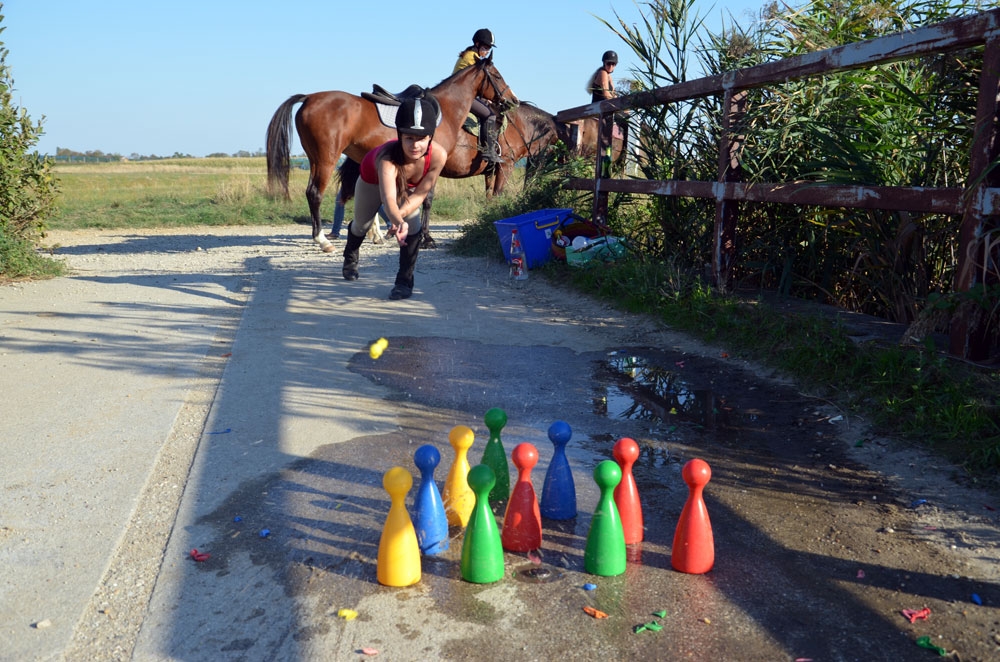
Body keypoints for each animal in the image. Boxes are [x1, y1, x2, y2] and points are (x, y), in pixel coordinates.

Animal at [266, 53, 516, 252]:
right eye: (497, 75)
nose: (512, 100)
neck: (445, 110)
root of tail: (309, 97)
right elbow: (426, 200)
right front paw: (426, 238)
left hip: (318, 159)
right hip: (325, 159)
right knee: (315, 193)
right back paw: (322, 241)